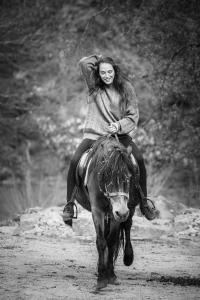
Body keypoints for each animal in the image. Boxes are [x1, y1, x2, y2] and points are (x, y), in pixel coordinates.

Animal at [72, 136, 140, 290]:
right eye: (106, 176)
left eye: (128, 178)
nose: (122, 212)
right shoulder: (98, 211)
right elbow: (101, 241)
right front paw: (101, 278)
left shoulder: (114, 214)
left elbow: (111, 241)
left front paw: (111, 275)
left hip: (127, 209)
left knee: (127, 226)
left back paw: (128, 257)